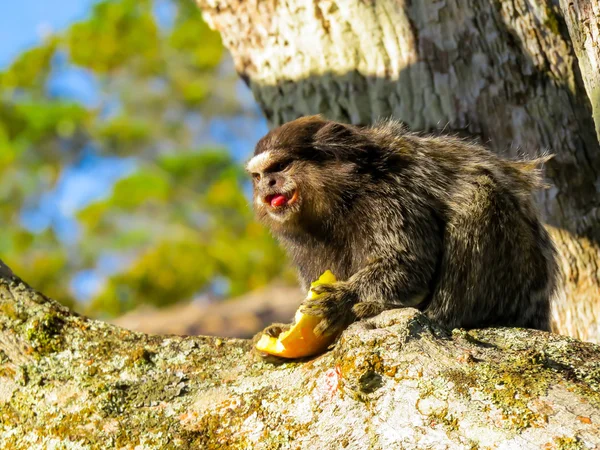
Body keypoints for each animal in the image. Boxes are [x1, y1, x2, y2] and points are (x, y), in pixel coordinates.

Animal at [245, 114, 556, 342]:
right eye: (258, 176)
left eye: (281, 166)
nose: (267, 185)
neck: (341, 199)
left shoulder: (391, 198)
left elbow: (408, 263)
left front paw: (344, 299)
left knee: (479, 194)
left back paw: (437, 316)